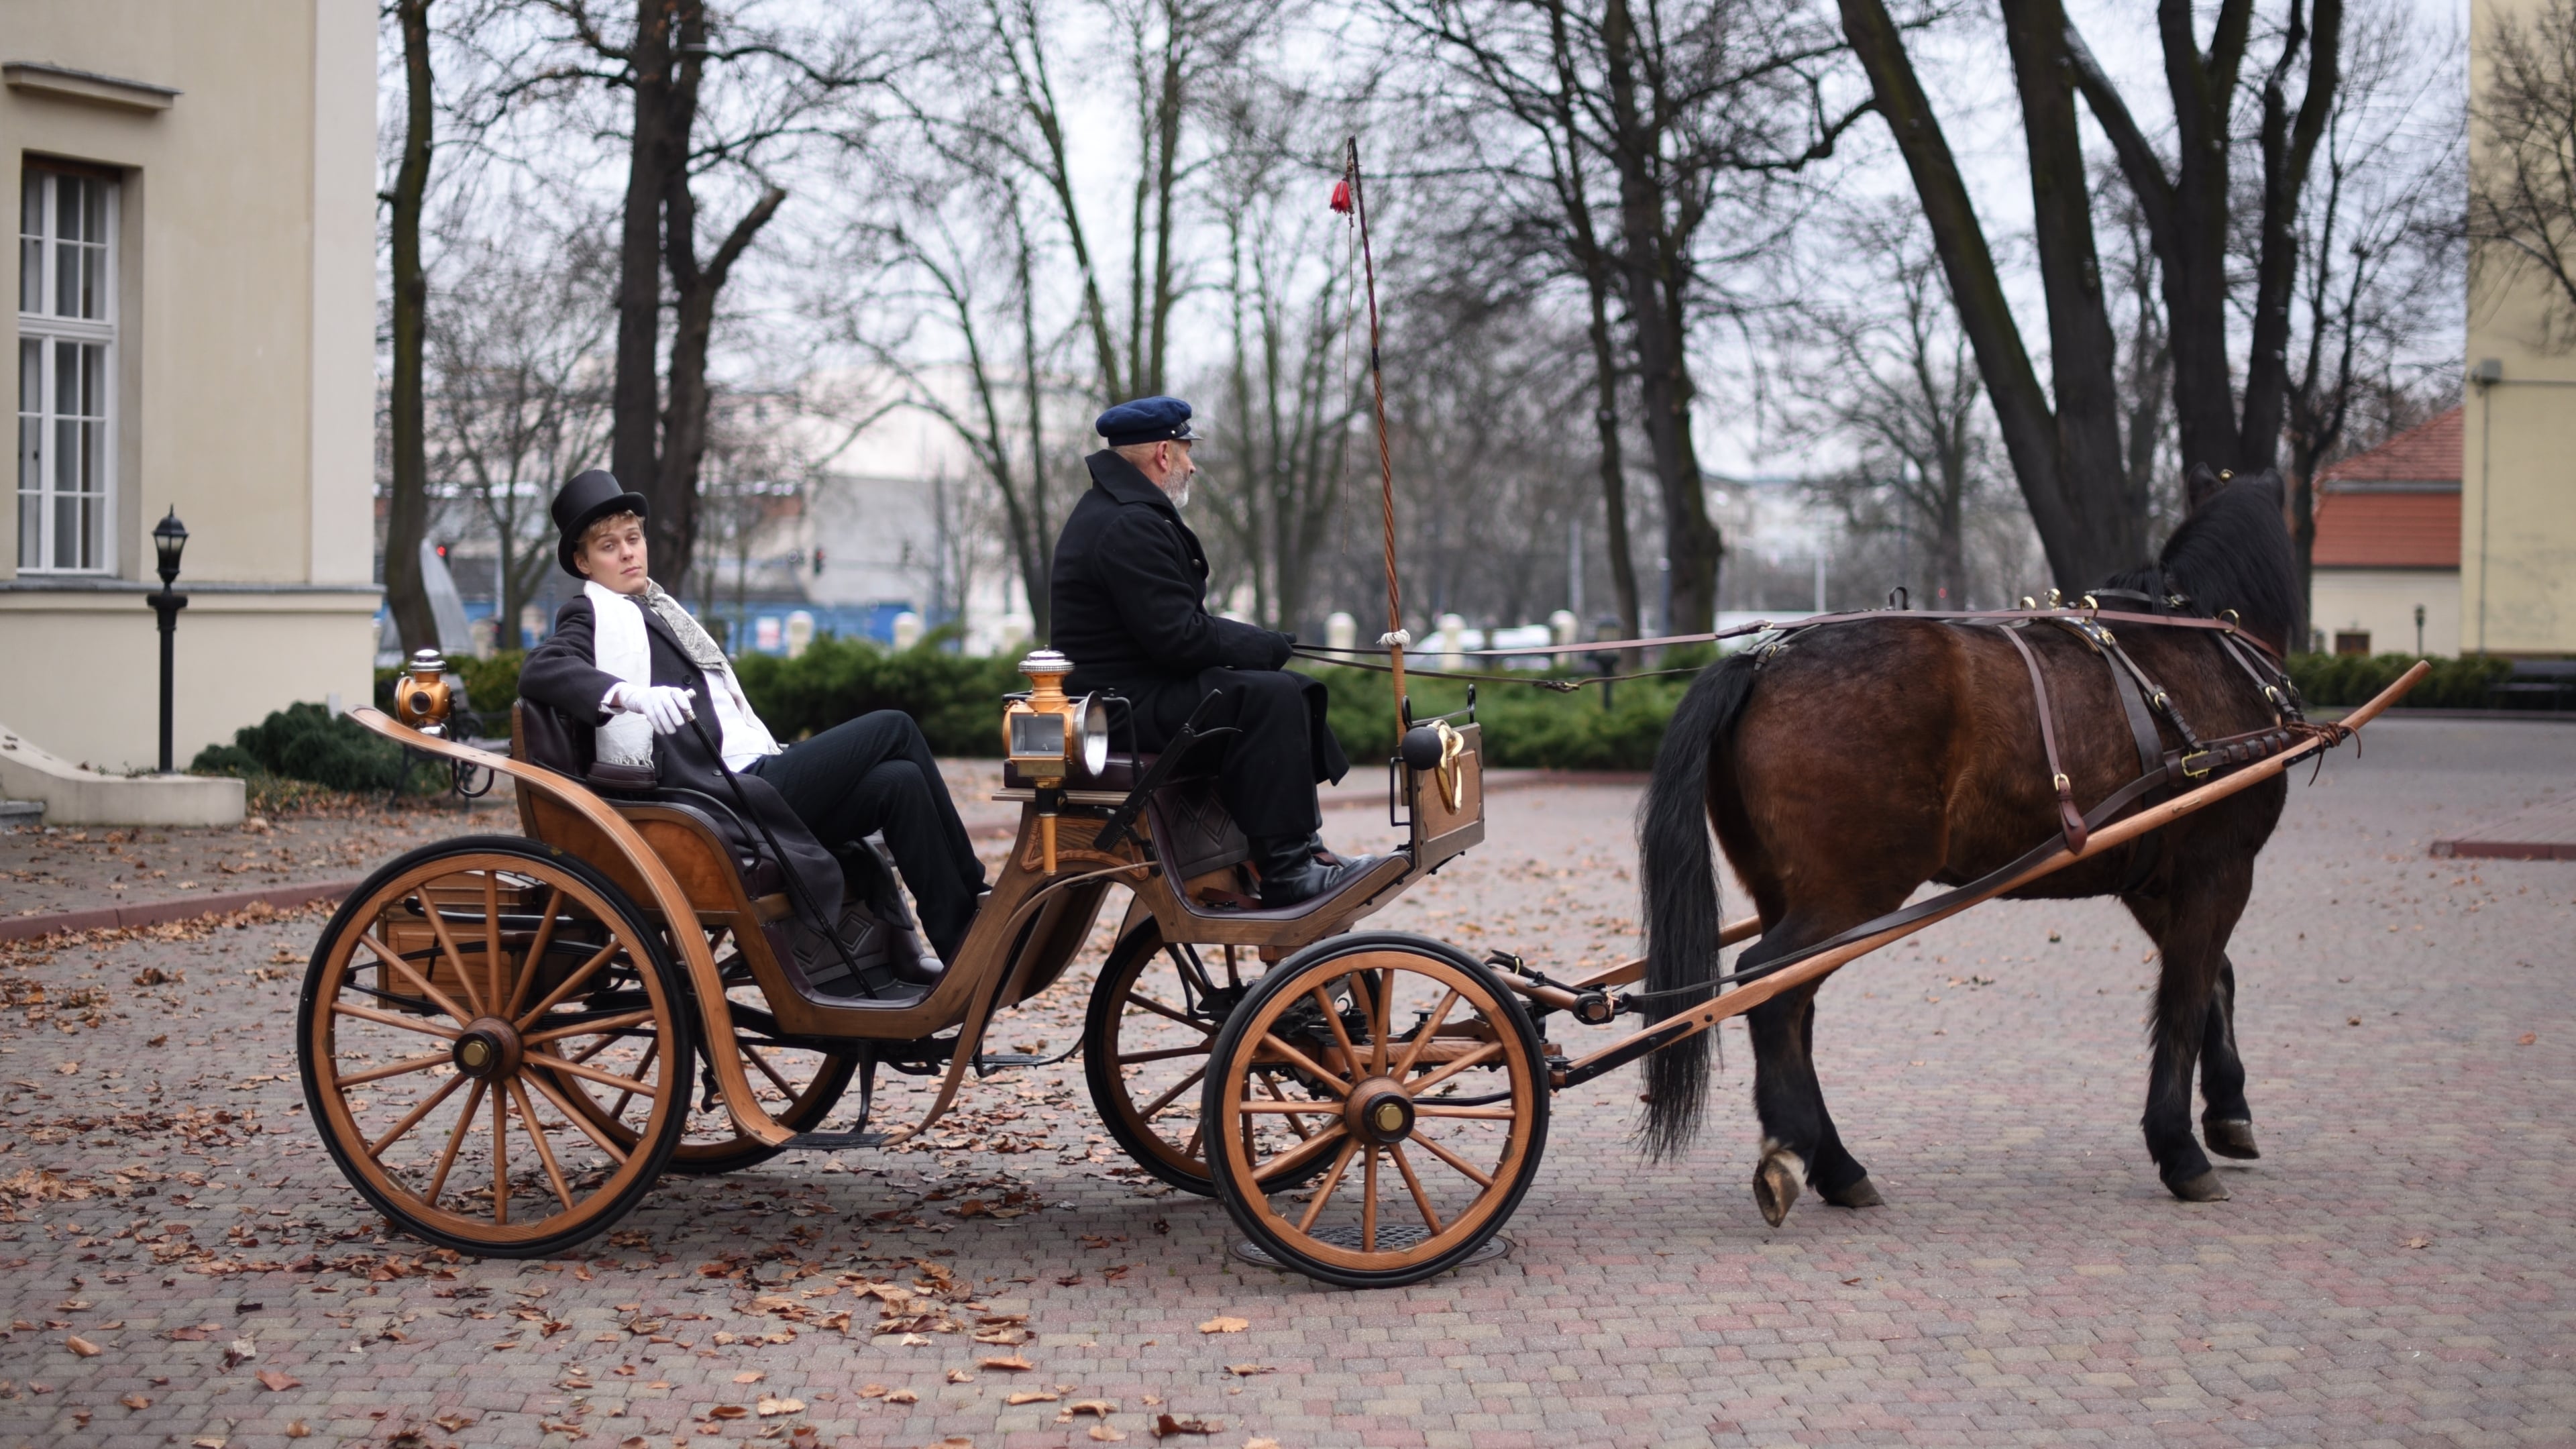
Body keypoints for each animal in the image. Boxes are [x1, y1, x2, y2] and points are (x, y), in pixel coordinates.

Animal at [1638, 469, 2308, 1212]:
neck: (2198, 647)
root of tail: (1764, 663)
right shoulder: (2220, 869)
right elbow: (2187, 998)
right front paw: (2181, 1147)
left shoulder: (2157, 882)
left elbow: (2214, 980)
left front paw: (2228, 1110)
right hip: (1852, 891)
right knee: (1770, 983)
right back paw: (1792, 1147)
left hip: (1790, 890)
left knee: (1792, 1004)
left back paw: (1837, 1164)